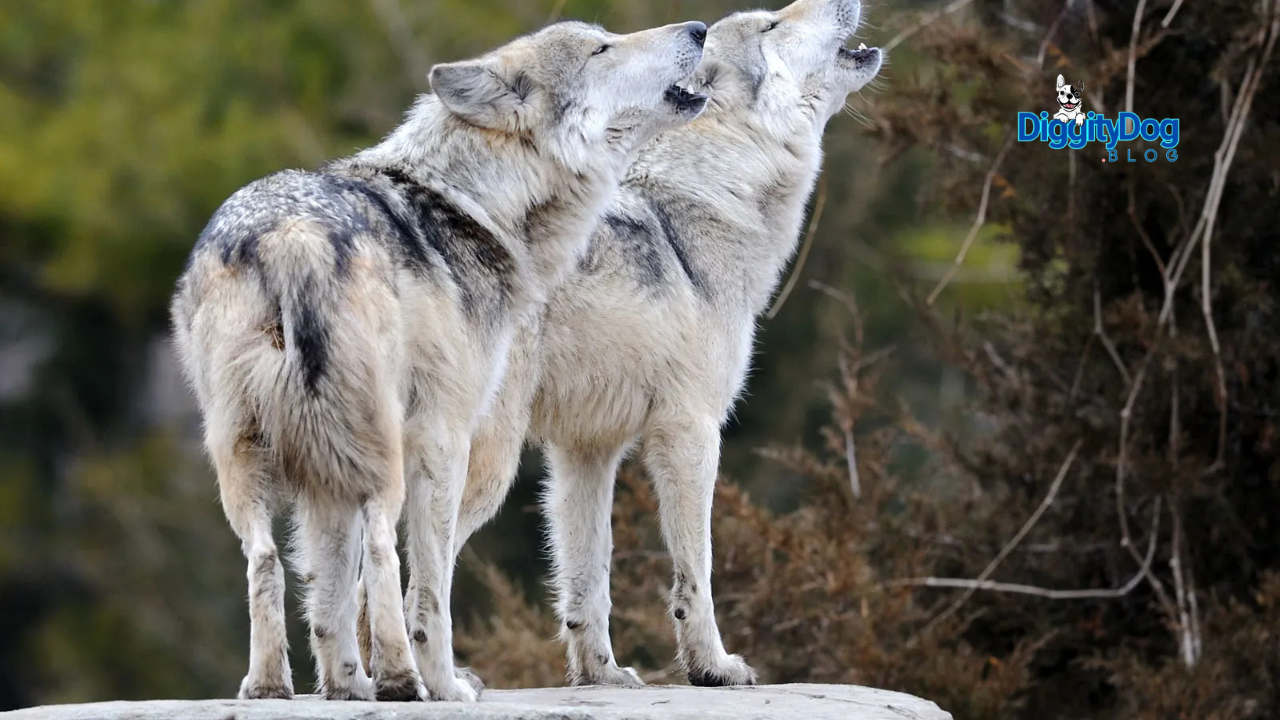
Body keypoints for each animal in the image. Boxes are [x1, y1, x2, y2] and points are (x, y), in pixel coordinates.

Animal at [171, 20, 707, 703]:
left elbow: (329, 596)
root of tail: (293, 235)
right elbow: (429, 588)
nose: (698, 28)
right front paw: (441, 682)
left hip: (248, 455)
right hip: (383, 454)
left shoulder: (325, 476)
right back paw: (407, 681)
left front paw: (346, 686)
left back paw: (271, 687)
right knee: (382, 550)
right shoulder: (445, 436)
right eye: (601, 48)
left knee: (266, 560)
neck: (474, 204)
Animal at [450, 0, 882, 688]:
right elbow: (695, 571)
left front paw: (600, 676)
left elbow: (587, 581)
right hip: (488, 466)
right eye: (771, 25)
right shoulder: (691, 430)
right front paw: (713, 667)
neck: (705, 202)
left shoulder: (586, 453)